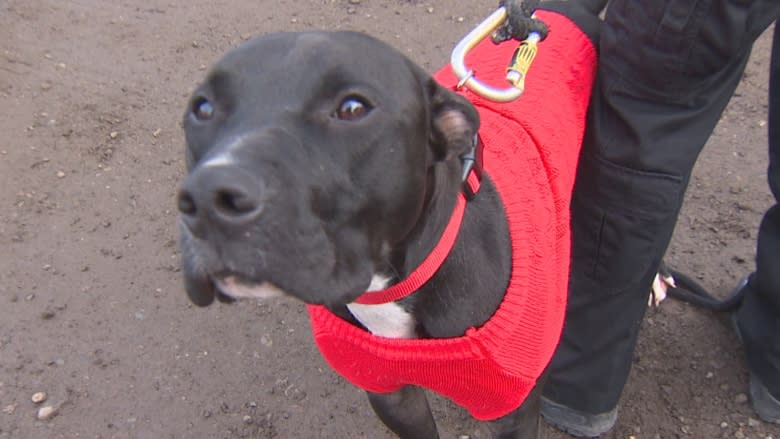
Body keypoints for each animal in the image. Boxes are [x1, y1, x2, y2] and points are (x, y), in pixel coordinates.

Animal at [178, 4, 596, 439]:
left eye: (353, 108)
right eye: (202, 109)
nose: (208, 197)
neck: (390, 290)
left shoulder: (511, 411)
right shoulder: (389, 394)